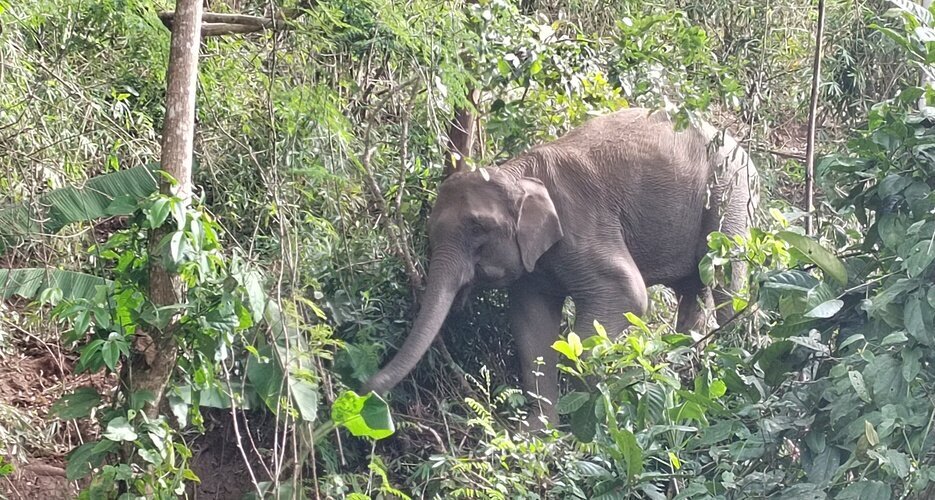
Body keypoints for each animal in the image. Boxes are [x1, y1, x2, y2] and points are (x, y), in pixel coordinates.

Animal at [362, 107, 758, 424]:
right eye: (430, 233)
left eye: (478, 228)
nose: (365, 389)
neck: (517, 172)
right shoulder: (534, 264)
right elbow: (531, 323)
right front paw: (540, 434)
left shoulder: (581, 224)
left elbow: (626, 293)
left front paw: (593, 411)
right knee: (693, 288)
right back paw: (686, 366)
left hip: (730, 196)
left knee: (726, 279)